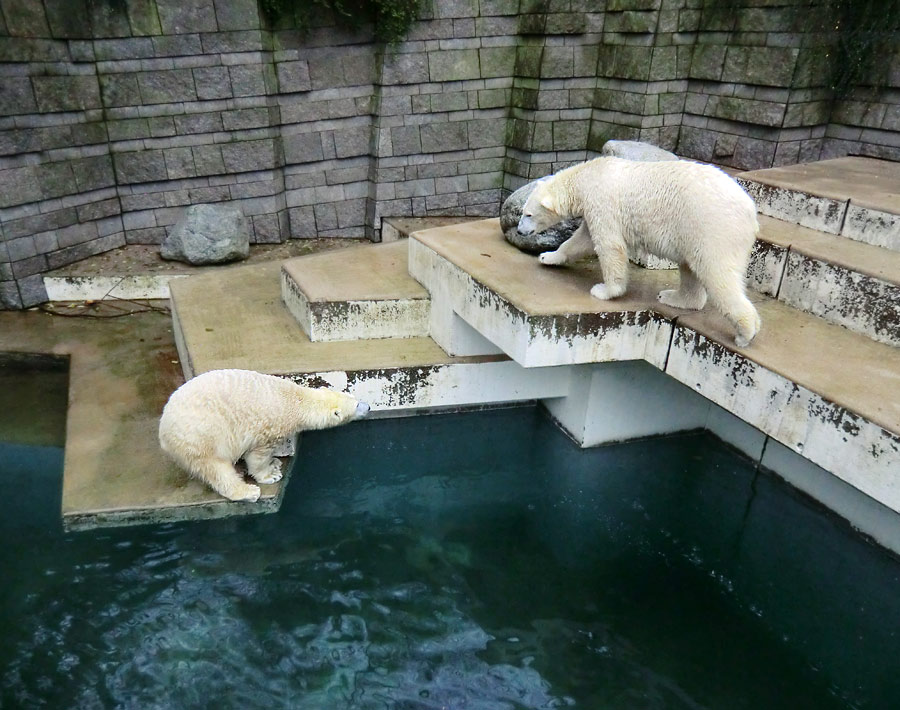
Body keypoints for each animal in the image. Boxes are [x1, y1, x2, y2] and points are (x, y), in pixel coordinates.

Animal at [159, 370, 370, 504]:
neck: (296, 400)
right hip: (201, 437)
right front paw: (270, 474)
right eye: (356, 405)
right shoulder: (267, 427)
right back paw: (247, 492)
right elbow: (257, 455)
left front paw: (275, 462)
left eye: (355, 398)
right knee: (216, 469)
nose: (368, 406)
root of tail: (163, 432)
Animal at [516, 157, 764, 350]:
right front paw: (548, 256)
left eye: (528, 214)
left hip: (712, 227)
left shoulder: (602, 203)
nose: (519, 230)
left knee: (717, 274)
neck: (588, 176)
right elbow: (581, 241)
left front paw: (604, 291)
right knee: (691, 268)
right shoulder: (592, 209)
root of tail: (751, 212)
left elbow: (609, 245)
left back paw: (745, 333)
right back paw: (672, 297)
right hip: (693, 232)